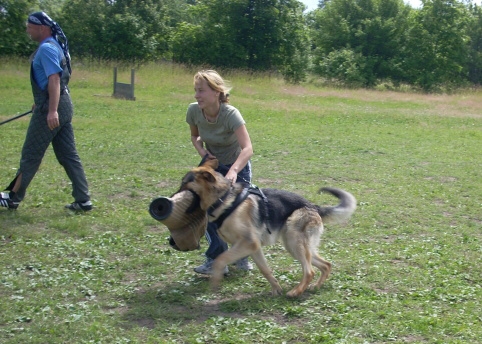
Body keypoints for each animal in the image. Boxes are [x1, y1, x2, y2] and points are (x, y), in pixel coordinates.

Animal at [178, 159, 358, 296]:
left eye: (184, 183)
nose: (171, 199)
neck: (223, 199)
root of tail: (313, 206)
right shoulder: (252, 247)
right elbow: (265, 269)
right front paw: (276, 288)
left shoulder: (248, 243)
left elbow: (220, 259)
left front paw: (215, 282)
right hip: (296, 246)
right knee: (326, 265)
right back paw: (315, 287)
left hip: (294, 243)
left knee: (310, 271)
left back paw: (296, 292)